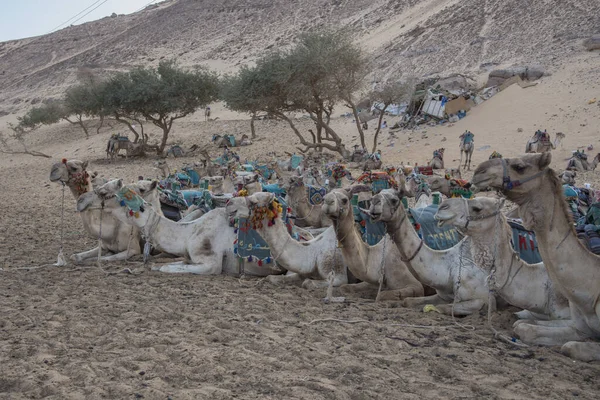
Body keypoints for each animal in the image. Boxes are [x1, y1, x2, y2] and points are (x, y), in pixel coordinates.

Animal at [472, 153, 600, 362]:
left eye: (519, 166)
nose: (479, 171)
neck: (589, 289)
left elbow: (570, 347)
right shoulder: (580, 327)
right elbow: (523, 328)